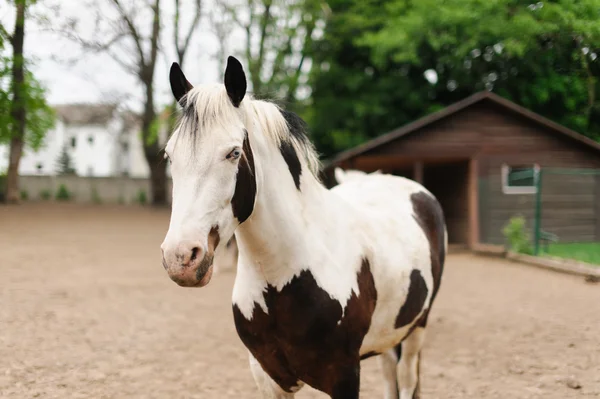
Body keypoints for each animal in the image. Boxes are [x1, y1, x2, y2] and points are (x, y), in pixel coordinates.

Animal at [159, 57, 446, 399]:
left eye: (233, 153)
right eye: (169, 155)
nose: (181, 257)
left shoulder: (345, 376)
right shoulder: (268, 377)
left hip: (417, 328)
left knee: (405, 377)